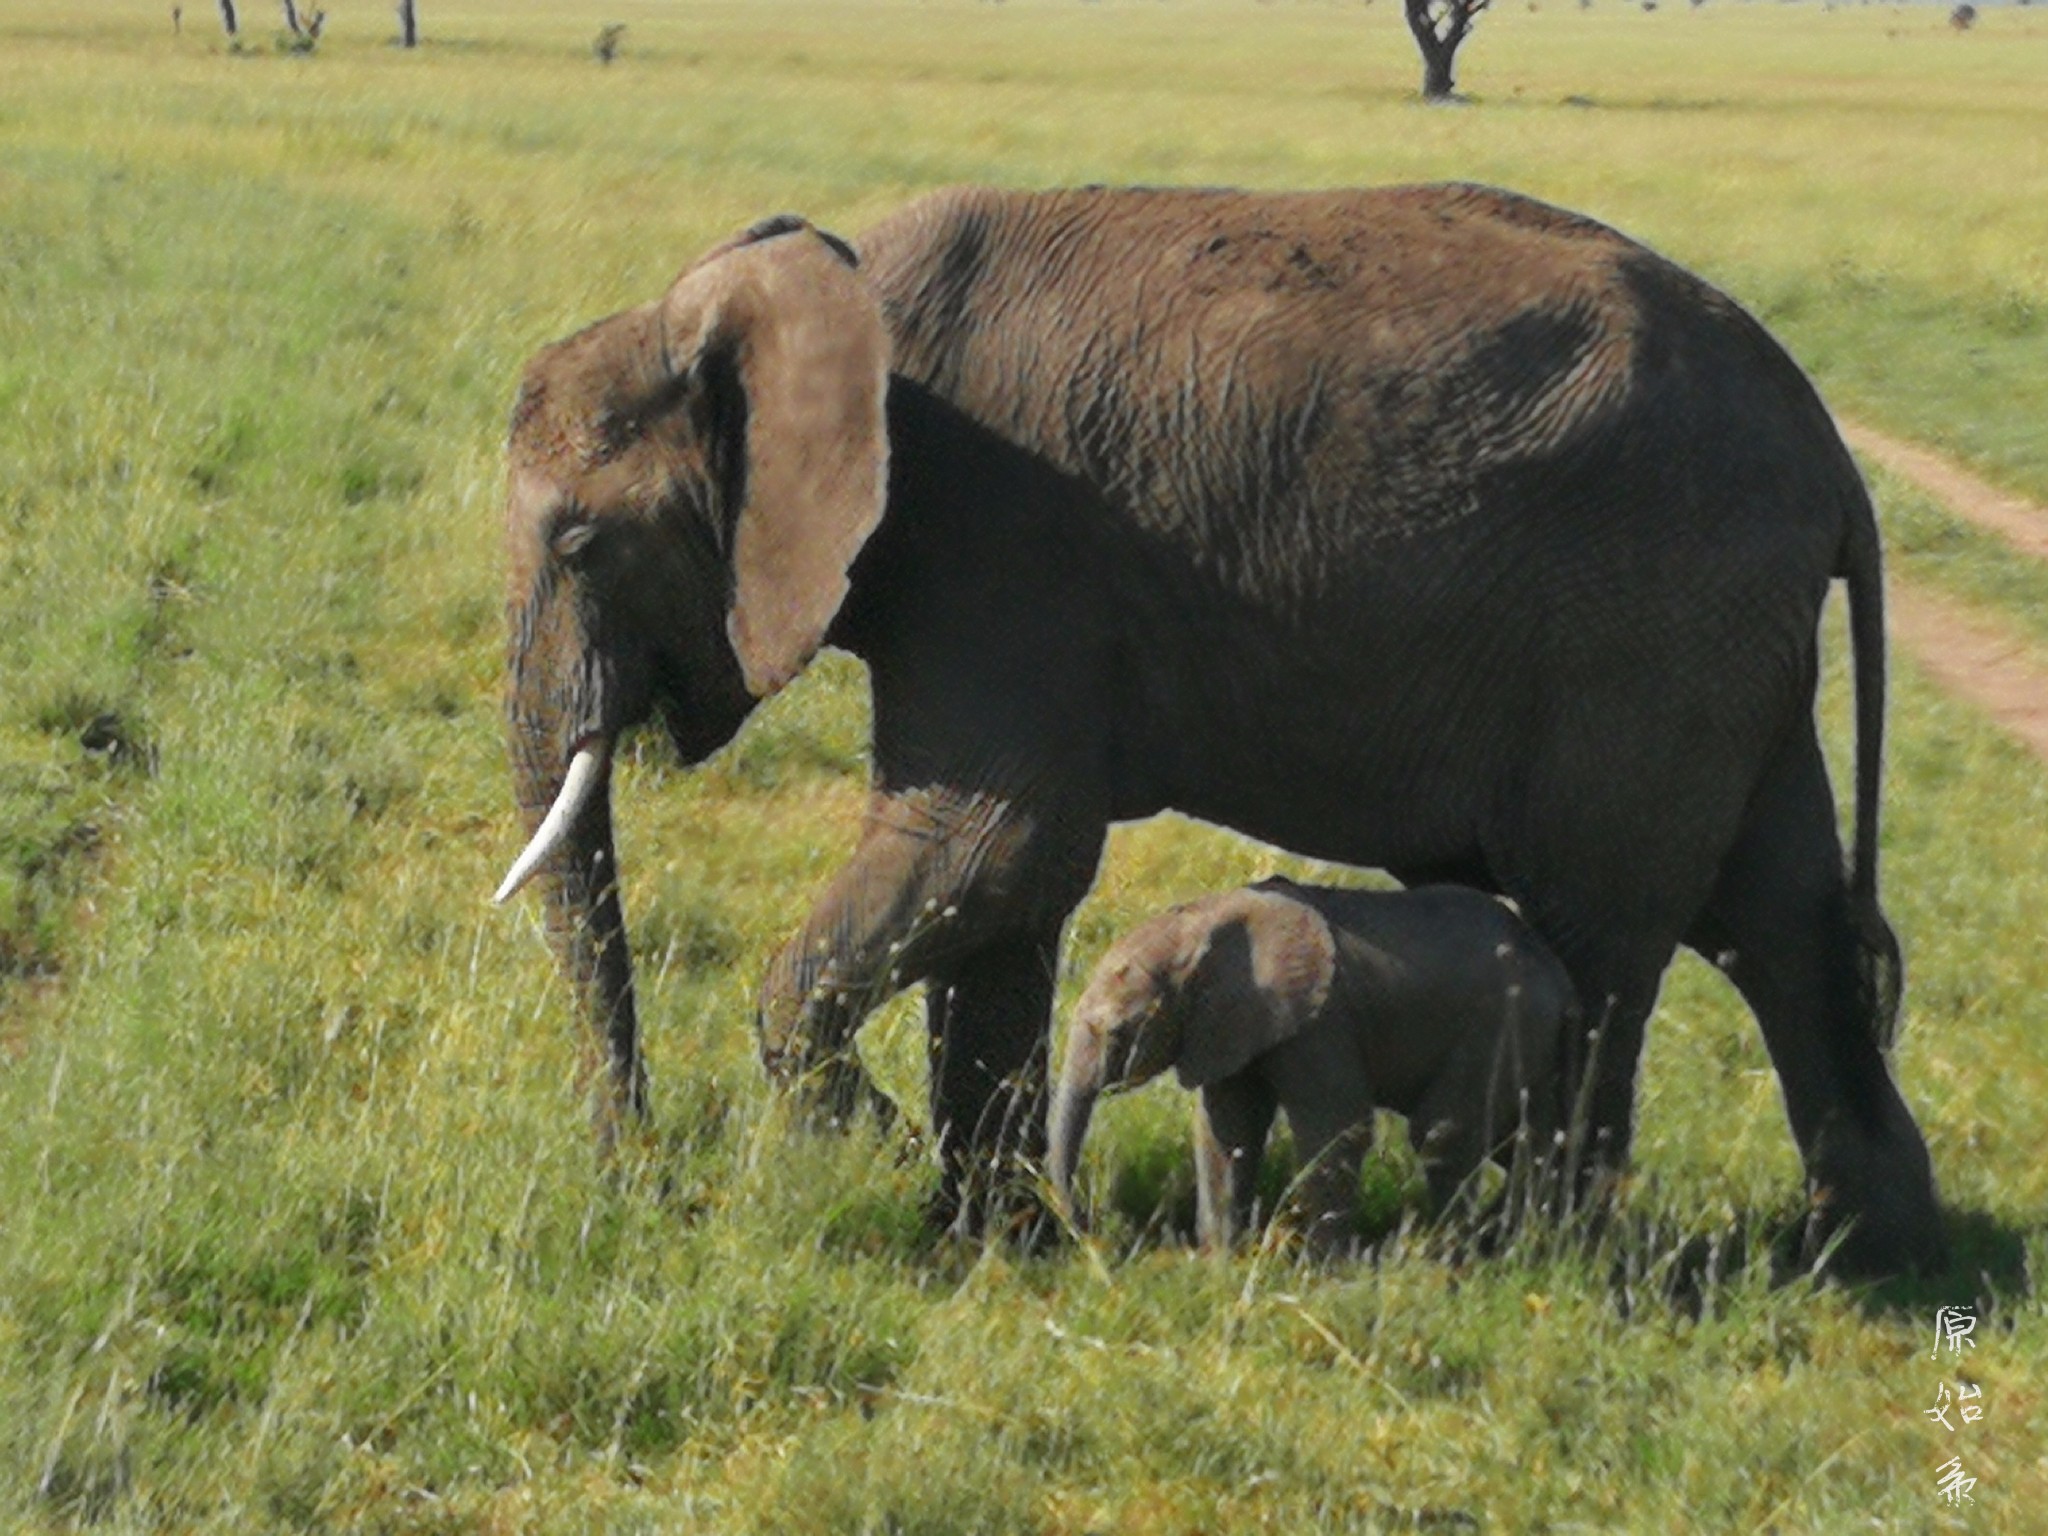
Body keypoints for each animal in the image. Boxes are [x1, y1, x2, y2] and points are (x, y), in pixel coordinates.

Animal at [1048, 876, 1572, 1253]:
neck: (1200, 923)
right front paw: (1220, 1266)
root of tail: (1557, 974)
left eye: (1118, 1033)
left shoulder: (1320, 1023)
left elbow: (1337, 1128)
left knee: (1444, 1136)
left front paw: (1322, 1273)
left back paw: (1450, 1258)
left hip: (1503, 1023)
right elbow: (1228, 1132)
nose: (1097, 1233)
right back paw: (1517, 1242)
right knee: (1530, 1141)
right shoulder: (1229, 1025)